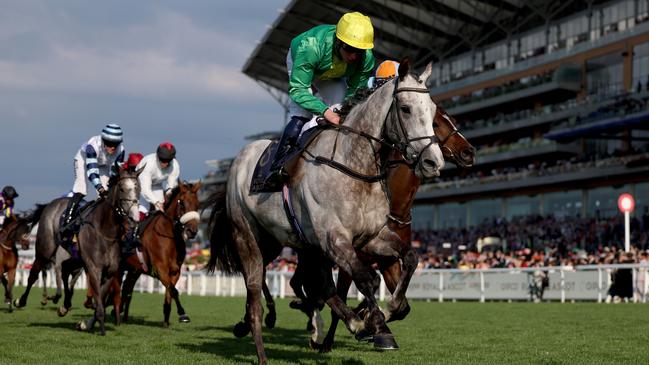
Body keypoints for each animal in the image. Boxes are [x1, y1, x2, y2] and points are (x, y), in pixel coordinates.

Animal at [76, 166, 142, 334]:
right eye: (122, 189)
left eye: (138, 188)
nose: (134, 218)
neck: (105, 233)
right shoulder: (94, 269)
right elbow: (99, 298)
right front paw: (101, 329)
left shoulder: (112, 271)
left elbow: (103, 297)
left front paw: (91, 322)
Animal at [119, 181, 200, 326]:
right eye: (182, 203)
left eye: (198, 204)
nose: (192, 231)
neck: (168, 237)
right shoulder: (160, 268)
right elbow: (174, 290)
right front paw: (183, 314)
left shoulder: (175, 271)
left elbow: (170, 291)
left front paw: (166, 321)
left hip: (134, 269)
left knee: (127, 288)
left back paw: (123, 315)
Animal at [208, 60, 446, 364]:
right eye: (405, 108)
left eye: (433, 111)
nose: (433, 162)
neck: (354, 167)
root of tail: (237, 161)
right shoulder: (334, 239)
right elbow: (367, 279)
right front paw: (375, 323)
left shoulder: (371, 237)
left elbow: (410, 258)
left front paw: (387, 310)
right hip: (249, 240)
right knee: (255, 300)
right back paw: (263, 346)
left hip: (287, 244)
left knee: (316, 286)